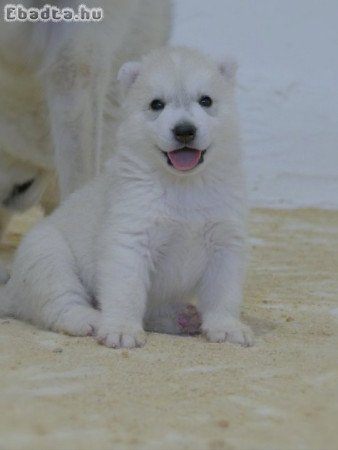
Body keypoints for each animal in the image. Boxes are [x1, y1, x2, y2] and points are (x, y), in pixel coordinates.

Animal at [0, 46, 254, 348]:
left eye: (206, 100)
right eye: (156, 104)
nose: (184, 131)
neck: (183, 185)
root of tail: (11, 289)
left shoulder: (224, 234)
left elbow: (222, 288)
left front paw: (228, 329)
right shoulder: (131, 228)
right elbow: (126, 285)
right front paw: (121, 331)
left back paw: (182, 317)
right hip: (47, 251)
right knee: (58, 295)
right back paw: (90, 319)